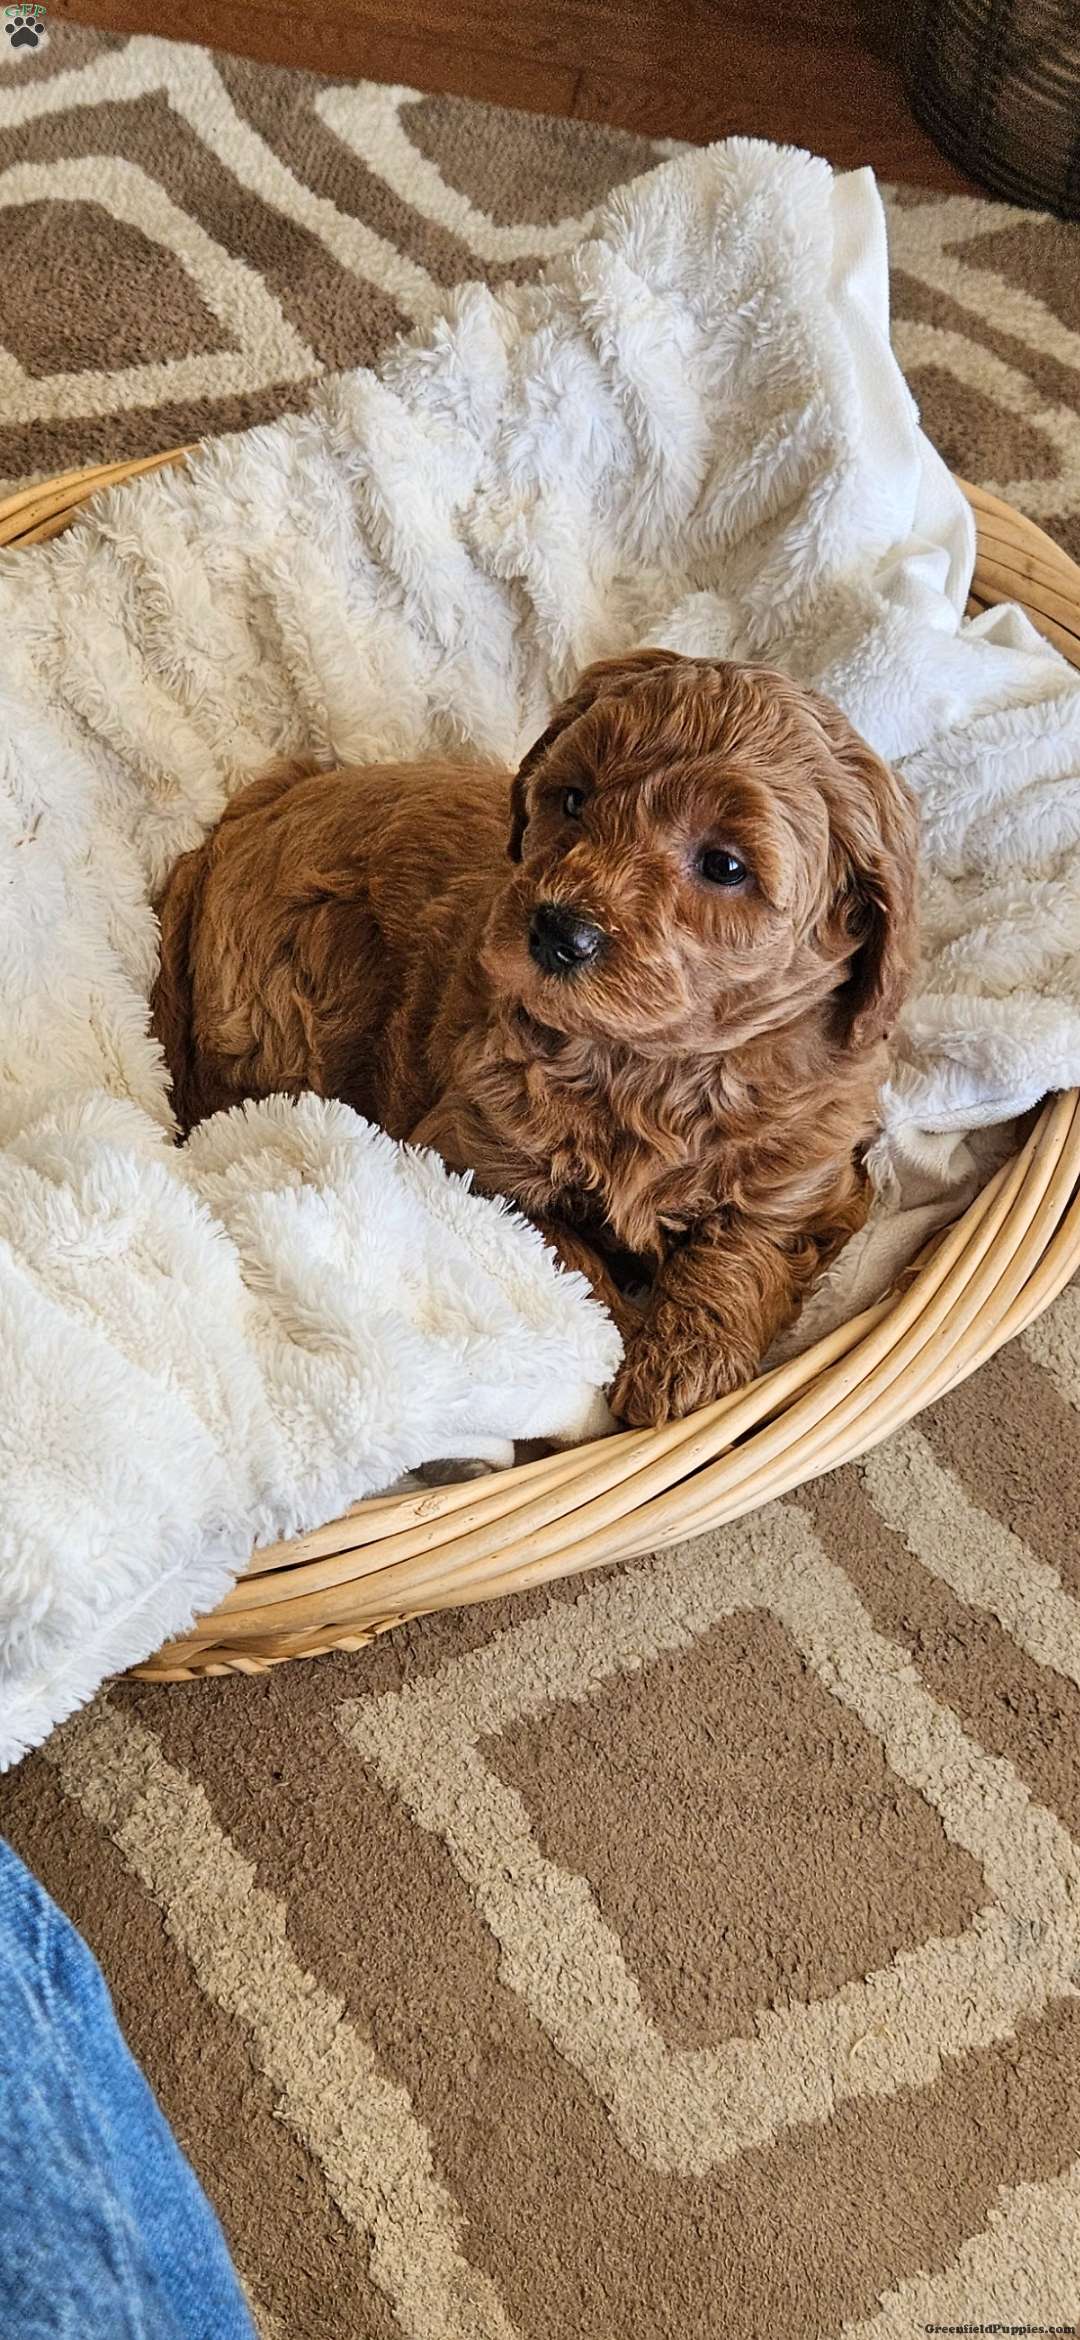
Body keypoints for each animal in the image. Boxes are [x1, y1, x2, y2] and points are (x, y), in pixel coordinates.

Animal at [151, 650, 918, 1426]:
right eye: (573, 800)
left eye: (725, 866)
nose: (558, 931)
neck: (650, 1067)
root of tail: (235, 828)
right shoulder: (471, 1152)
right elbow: (562, 1263)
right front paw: (621, 1351)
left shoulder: (809, 1178)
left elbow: (748, 1247)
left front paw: (685, 1367)